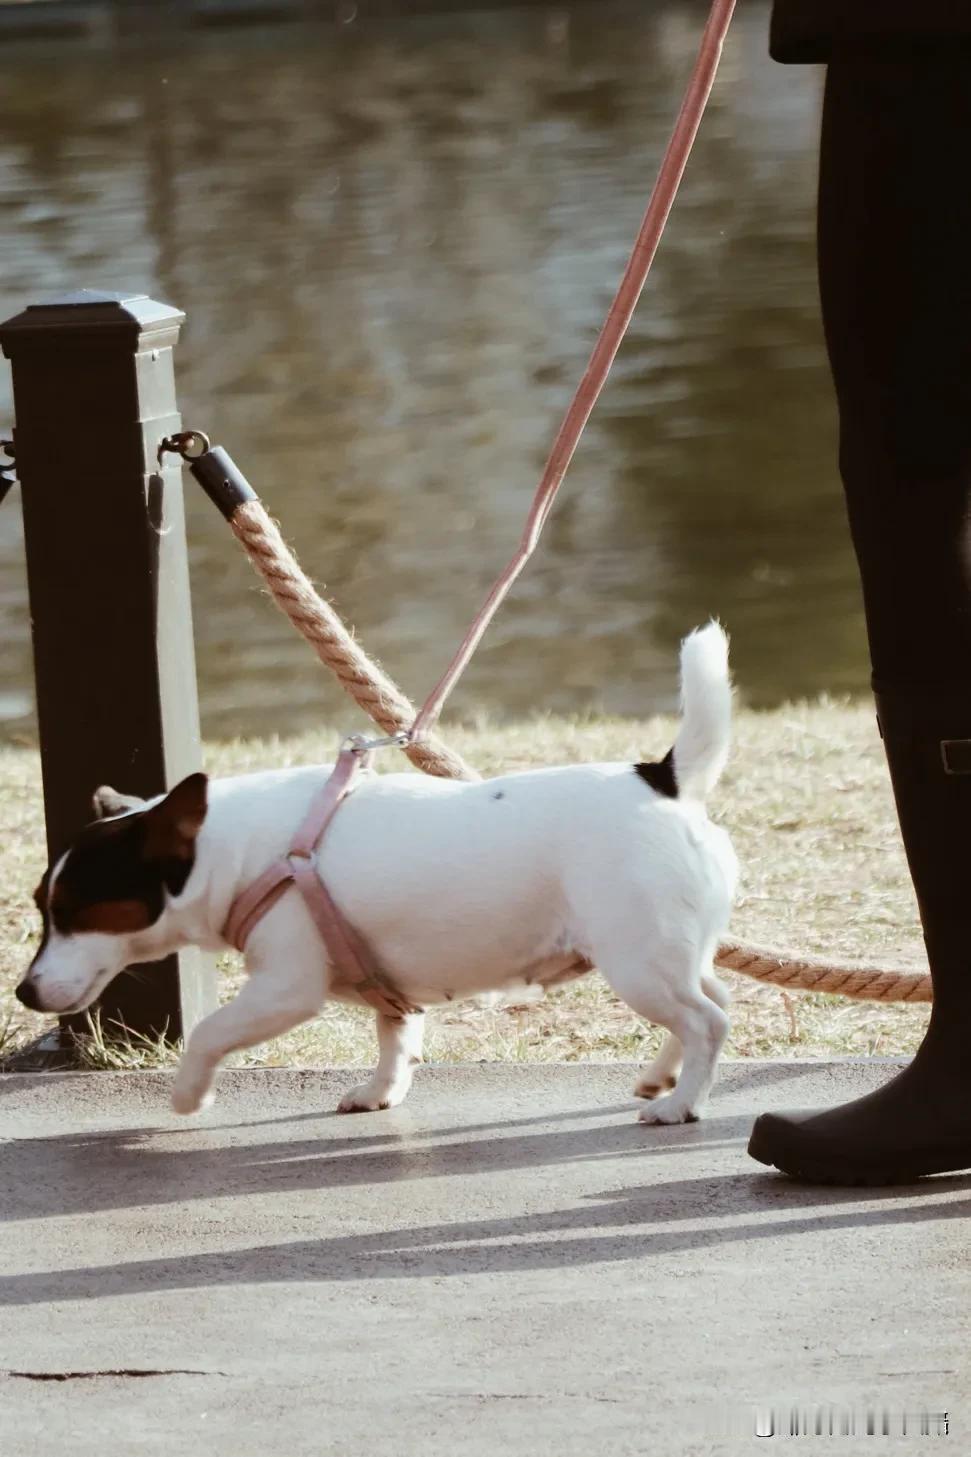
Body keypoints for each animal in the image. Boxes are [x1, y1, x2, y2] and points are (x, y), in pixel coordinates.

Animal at [17, 620, 734, 1118]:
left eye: (75, 910)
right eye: (40, 906)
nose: (24, 992)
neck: (233, 848)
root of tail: (662, 778)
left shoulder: (285, 987)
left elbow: (210, 1030)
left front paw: (189, 1094)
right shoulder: (386, 987)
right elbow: (395, 1035)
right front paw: (380, 1091)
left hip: (637, 961)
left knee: (707, 1021)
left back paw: (681, 1104)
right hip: (671, 955)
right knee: (711, 1001)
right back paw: (662, 1077)